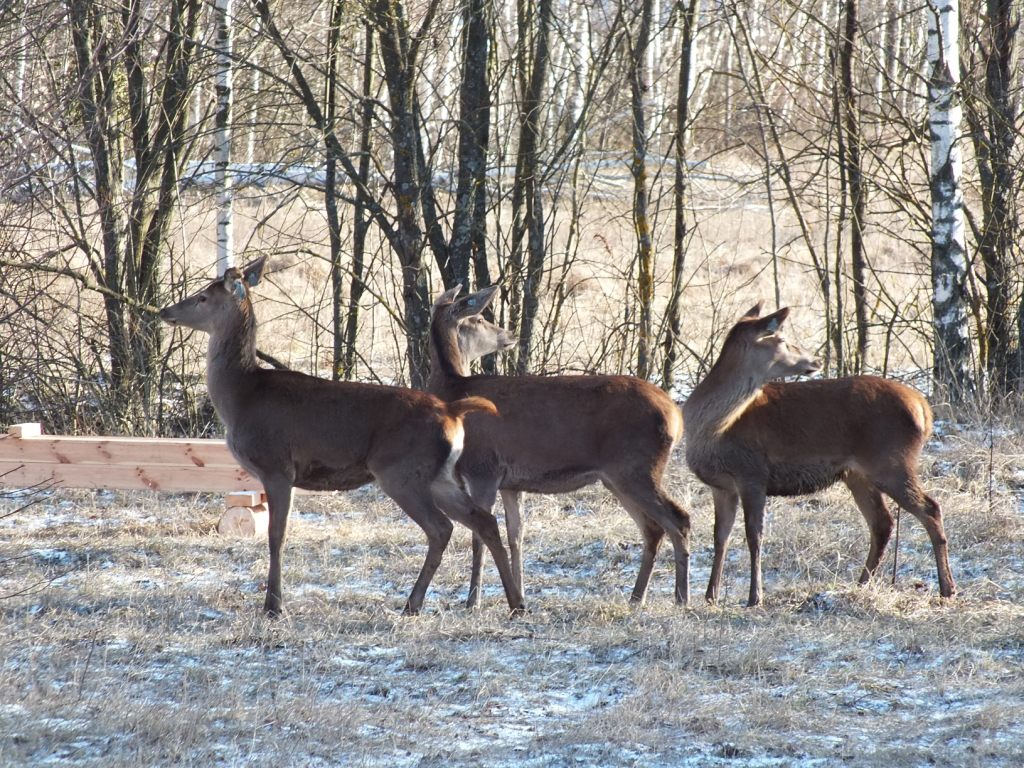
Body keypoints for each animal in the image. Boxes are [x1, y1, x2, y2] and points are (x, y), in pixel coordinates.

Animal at [159, 260, 528, 618]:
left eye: (203, 296)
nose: (165, 310)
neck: (240, 397)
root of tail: (452, 412)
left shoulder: (277, 465)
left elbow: (277, 535)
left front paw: (274, 606)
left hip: (400, 470)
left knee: (441, 527)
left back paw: (414, 603)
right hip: (439, 475)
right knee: (483, 520)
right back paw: (515, 603)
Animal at [428, 282, 692, 606]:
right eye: (478, 319)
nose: (509, 335)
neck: (452, 392)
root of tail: (676, 416)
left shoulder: (482, 469)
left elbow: (480, 534)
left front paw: (473, 601)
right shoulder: (509, 482)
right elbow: (516, 534)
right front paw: (519, 594)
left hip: (637, 467)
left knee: (678, 519)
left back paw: (682, 597)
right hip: (618, 476)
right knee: (653, 528)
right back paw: (637, 597)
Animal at [679, 303, 958, 610]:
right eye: (782, 339)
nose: (814, 360)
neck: (714, 430)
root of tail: (924, 409)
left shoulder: (753, 474)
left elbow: (754, 536)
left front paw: (754, 597)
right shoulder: (721, 485)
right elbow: (720, 537)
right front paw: (710, 596)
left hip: (891, 462)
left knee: (930, 508)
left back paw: (947, 588)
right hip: (858, 474)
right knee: (882, 522)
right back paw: (862, 584)